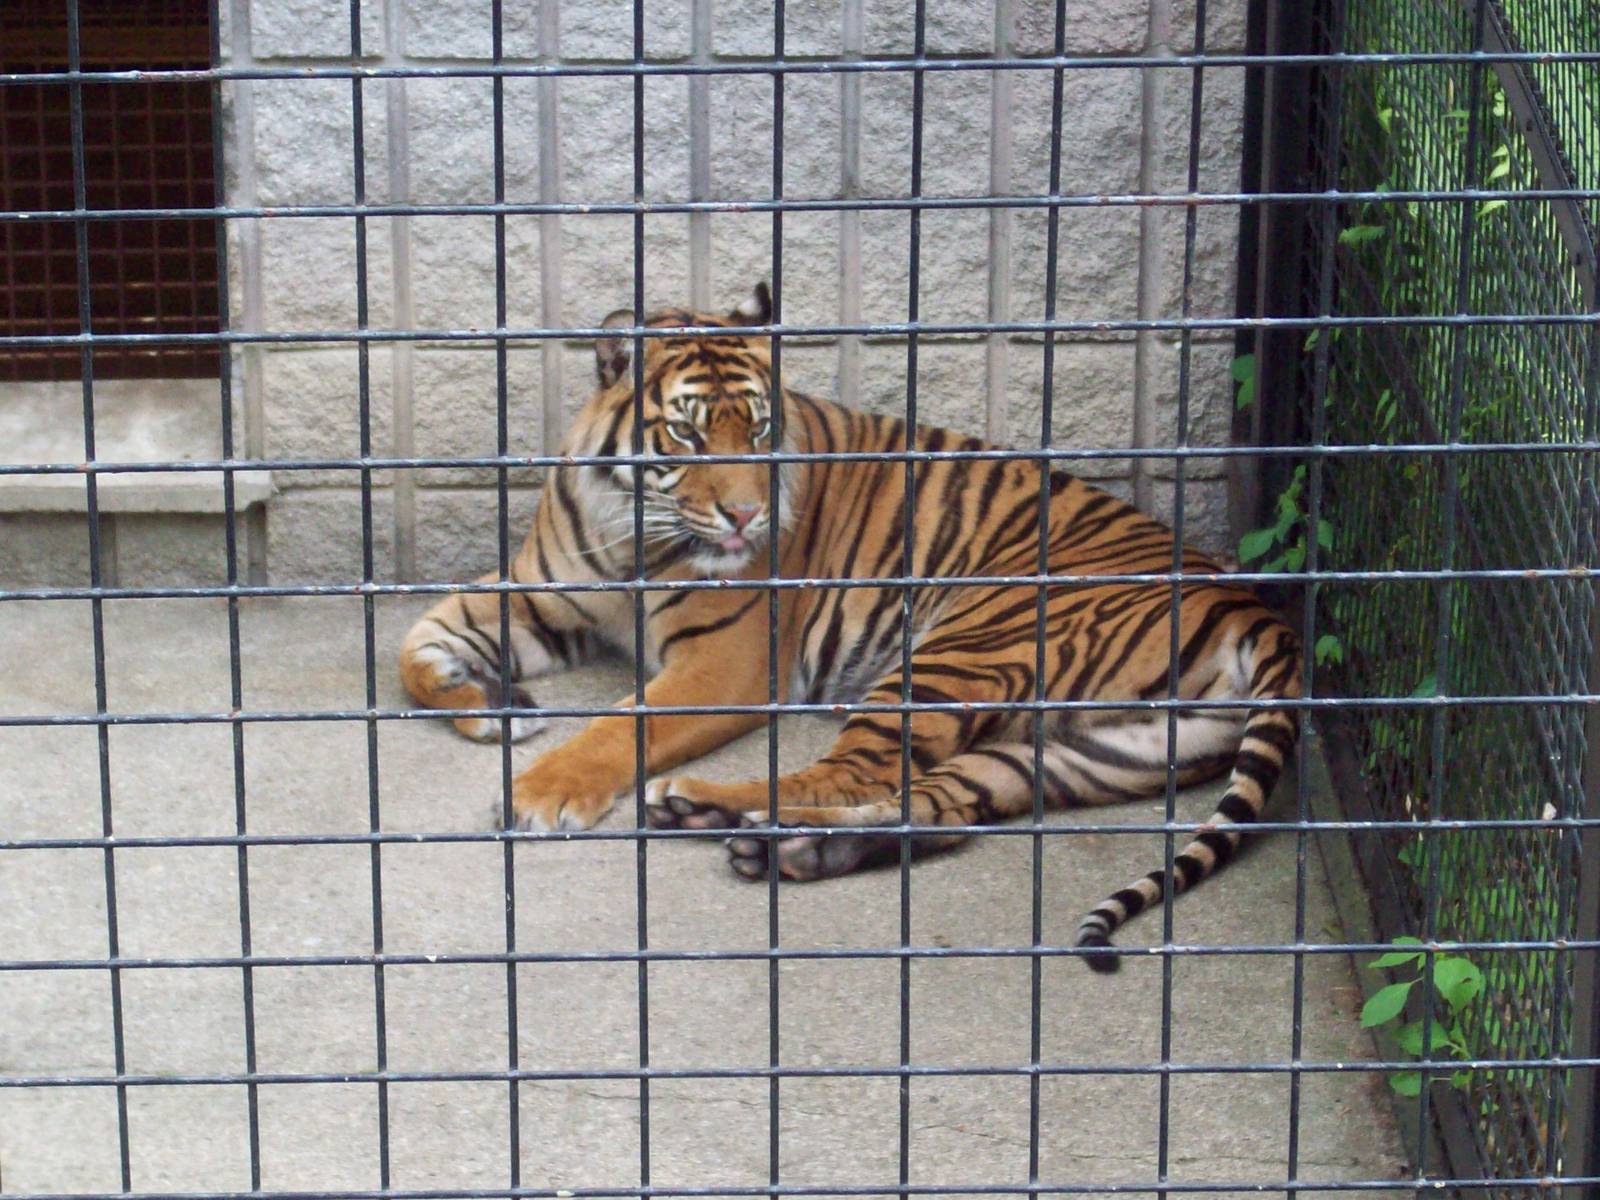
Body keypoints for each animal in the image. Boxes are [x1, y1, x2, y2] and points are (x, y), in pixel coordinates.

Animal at [398, 283, 1303, 970]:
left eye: (760, 429)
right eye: (687, 432)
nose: (748, 515)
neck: (630, 525)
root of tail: (1251, 606)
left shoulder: (722, 667)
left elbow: (619, 727)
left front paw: (540, 792)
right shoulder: (539, 592)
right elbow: (411, 647)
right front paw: (491, 701)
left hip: (959, 650)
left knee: (852, 773)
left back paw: (708, 808)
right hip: (1078, 752)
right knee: (935, 807)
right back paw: (777, 845)